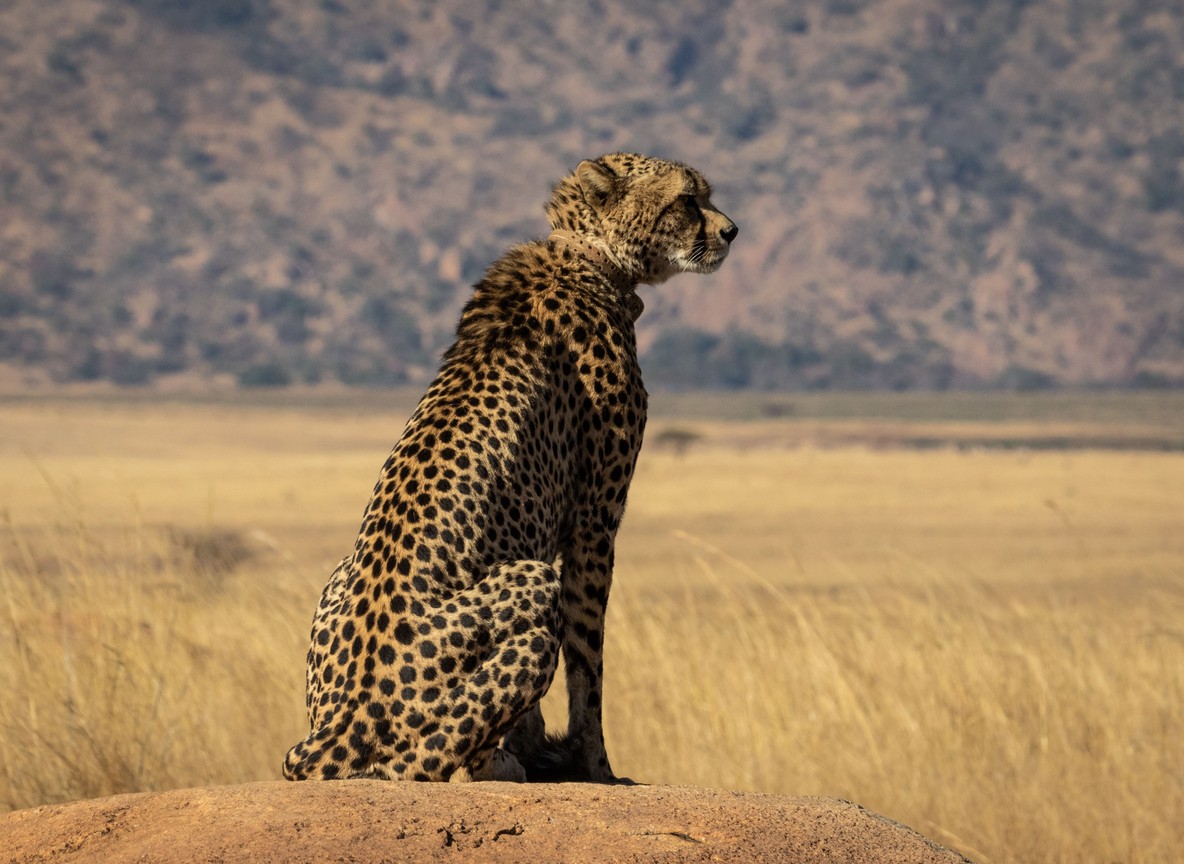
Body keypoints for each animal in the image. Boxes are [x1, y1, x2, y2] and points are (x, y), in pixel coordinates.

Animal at [281, 152, 737, 784]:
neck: (591, 258)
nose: (730, 231)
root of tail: (334, 732)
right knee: (429, 767)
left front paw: (543, 745)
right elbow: (587, 664)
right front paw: (596, 767)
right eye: (687, 199)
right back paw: (498, 763)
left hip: (338, 573)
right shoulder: (595, 521)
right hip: (531, 579)